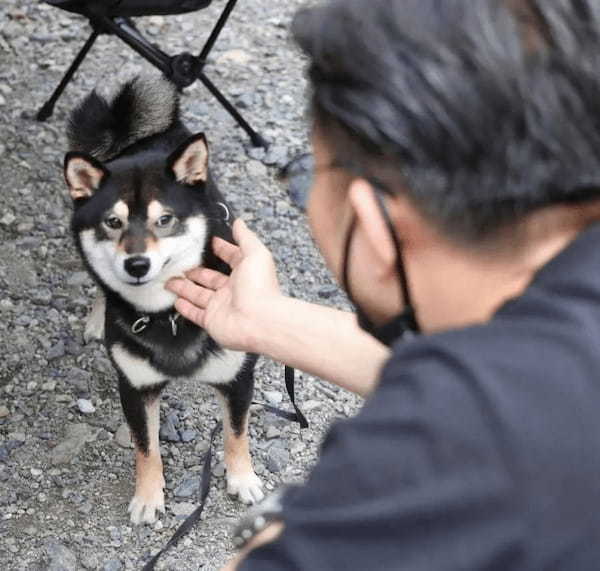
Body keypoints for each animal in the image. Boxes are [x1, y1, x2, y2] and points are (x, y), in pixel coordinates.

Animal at [61, 77, 264, 528]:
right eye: (112, 222)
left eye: (165, 219)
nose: (136, 264)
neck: (167, 315)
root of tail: (141, 136)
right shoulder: (135, 387)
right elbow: (146, 447)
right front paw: (148, 497)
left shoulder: (238, 376)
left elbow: (236, 432)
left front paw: (242, 478)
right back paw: (97, 317)